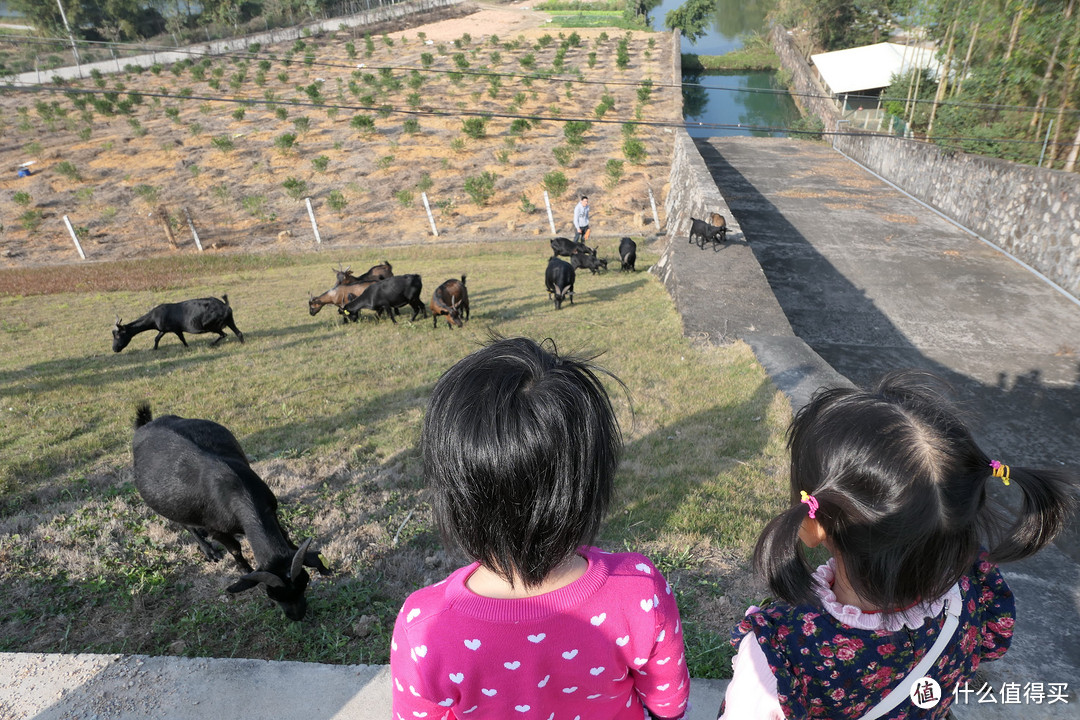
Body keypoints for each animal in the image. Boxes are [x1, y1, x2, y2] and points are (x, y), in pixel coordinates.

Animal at [113, 295, 245, 351]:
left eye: (118, 335)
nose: (114, 349)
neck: (154, 317)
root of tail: (225, 306)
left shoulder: (176, 329)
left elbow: (182, 338)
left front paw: (187, 347)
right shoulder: (163, 329)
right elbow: (157, 338)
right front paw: (154, 349)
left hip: (211, 325)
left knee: (223, 334)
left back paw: (212, 344)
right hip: (229, 320)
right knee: (238, 332)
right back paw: (242, 343)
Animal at [130, 403, 326, 621]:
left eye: (304, 582)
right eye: (272, 595)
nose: (297, 616)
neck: (237, 490)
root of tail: (146, 424)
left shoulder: (271, 509)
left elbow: (284, 533)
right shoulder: (216, 528)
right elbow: (235, 549)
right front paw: (244, 568)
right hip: (171, 505)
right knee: (186, 524)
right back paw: (209, 551)